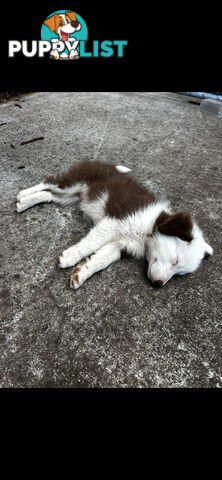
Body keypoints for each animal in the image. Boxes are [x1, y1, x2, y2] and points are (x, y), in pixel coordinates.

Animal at [16, 160, 213, 288]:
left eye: (179, 272)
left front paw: (82, 273)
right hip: (72, 182)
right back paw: (22, 194)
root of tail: (104, 163)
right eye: (176, 259)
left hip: (70, 197)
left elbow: (101, 259)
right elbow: (90, 244)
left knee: (48, 195)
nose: (159, 284)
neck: (148, 231)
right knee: (47, 182)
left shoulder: (120, 244)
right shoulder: (114, 223)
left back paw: (26, 202)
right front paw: (70, 257)